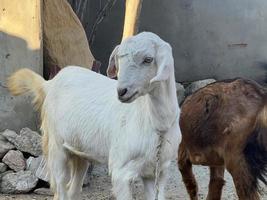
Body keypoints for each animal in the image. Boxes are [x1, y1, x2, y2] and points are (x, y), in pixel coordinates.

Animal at [7, 32, 182, 199]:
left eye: (148, 59)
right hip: (55, 144)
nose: (121, 91)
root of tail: (49, 83)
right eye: (119, 59)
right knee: (60, 188)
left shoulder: (158, 171)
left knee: (73, 190)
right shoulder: (121, 170)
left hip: (79, 150)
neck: (156, 123)